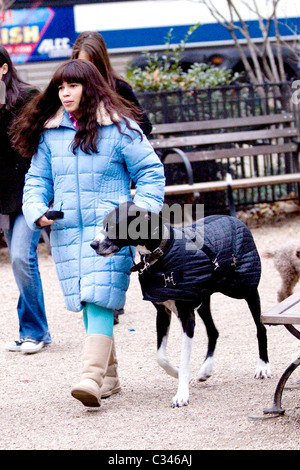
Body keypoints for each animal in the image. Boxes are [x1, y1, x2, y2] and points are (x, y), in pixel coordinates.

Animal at [90, 202, 270, 408]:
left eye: (114, 226)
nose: (93, 244)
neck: (162, 254)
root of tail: (233, 218)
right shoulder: (163, 313)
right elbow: (160, 357)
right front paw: (176, 373)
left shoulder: (186, 317)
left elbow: (184, 358)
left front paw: (182, 394)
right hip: (203, 302)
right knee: (213, 331)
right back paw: (206, 369)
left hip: (246, 290)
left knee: (260, 328)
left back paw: (263, 366)